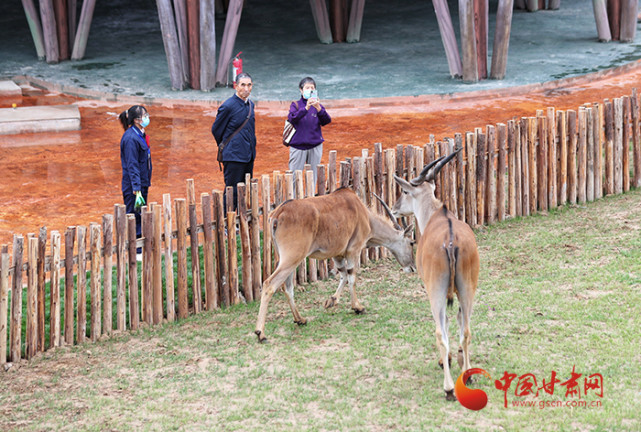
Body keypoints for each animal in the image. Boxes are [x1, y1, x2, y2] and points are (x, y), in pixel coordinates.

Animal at [255, 187, 416, 342]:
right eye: (411, 242)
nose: (413, 267)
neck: (365, 216)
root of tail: (277, 214)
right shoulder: (353, 250)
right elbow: (351, 276)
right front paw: (358, 307)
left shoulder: (337, 255)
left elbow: (343, 275)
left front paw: (331, 301)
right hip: (292, 258)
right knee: (269, 284)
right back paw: (261, 333)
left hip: (287, 259)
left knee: (287, 288)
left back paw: (300, 319)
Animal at [392, 148, 478, 402]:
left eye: (404, 191)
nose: (394, 207)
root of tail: (450, 242)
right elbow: (457, 321)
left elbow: (445, 325)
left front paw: (444, 361)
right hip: (468, 288)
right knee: (466, 329)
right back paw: (467, 374)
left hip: (436, 292)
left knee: (441, 332)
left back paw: (449, 388)